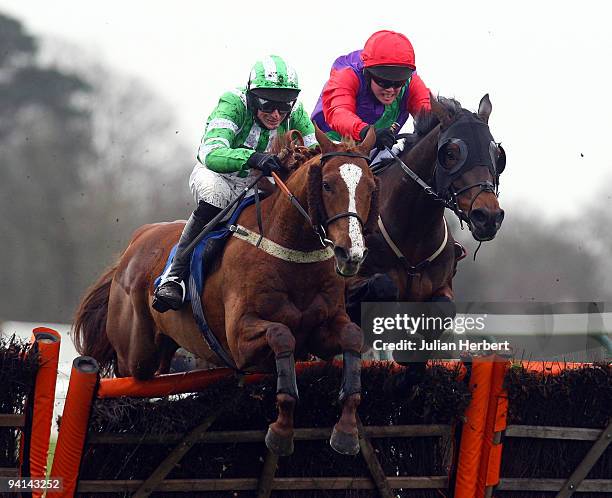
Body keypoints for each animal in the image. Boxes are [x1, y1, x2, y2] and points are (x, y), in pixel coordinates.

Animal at [74, 127, 380, 456]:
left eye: (371, 186)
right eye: (326, 184)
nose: (351, 254)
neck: (291, 252)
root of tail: (136, 241)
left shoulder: (322, 332)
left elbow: (352, 337)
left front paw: (346, 430)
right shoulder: (240, 340)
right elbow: (282, 335)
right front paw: (281, 430)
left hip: (162, 351)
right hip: (135, 355)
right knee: (125, 378)